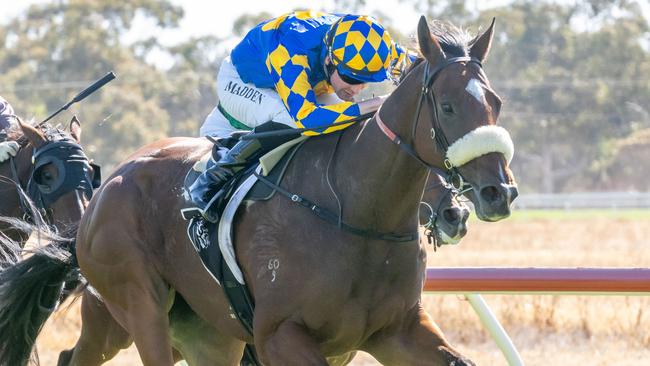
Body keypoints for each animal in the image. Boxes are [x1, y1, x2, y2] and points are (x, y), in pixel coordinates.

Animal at [0, 16, 516, 366]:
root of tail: (99, 198)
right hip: (136, 305)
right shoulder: (279, 334)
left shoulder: (397, 330)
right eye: (447, 106)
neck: (359, 215)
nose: (497, 193)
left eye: (495, 102)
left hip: (208, 335)